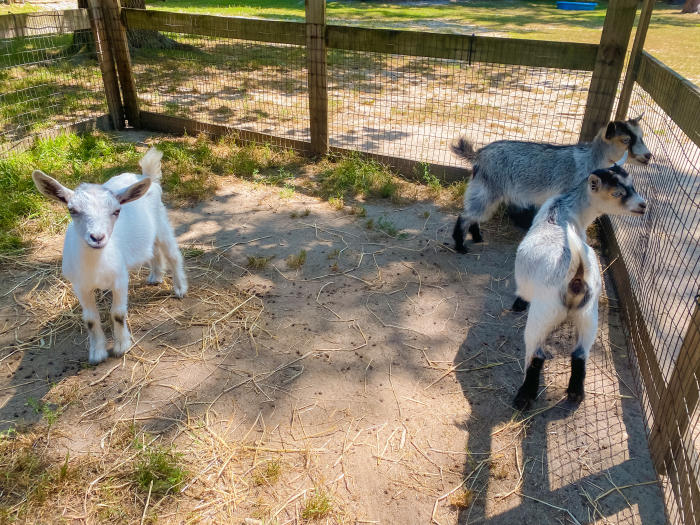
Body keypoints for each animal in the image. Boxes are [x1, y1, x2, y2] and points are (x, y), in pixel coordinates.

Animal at [31, 145, 187, 362]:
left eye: (116, 211)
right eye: (72, 210)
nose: (97, 237)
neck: (95, 264)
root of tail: (146, 176)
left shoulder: (120, 279)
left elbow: (118, 314)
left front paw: (121, 346)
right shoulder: (80, 286)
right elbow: (90, 319)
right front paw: (97, 353)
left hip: (162, 222)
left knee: (173, 254)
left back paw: (180, 288)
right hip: (148, 232)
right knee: (153, 250)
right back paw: (155, 277)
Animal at [452, 116, 648, 252]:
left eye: (641, 137)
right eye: (625, 140)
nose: (648, 156)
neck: (590, 160)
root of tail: (479, 154)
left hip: (487, 190)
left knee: (475, 214)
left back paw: (477, 237)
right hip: (488, 189)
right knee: (466, 215)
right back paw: (461, 246)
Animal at [512, 166, 648, 412]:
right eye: (617, 193)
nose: (643, 205)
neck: (563, 210)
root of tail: (577, 274)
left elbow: (521, 293)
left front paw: (518, 304)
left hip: (543, 313)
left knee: (536, 354)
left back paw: (524, 397)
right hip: (588, 314)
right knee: (579, 352)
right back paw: (576, 393)